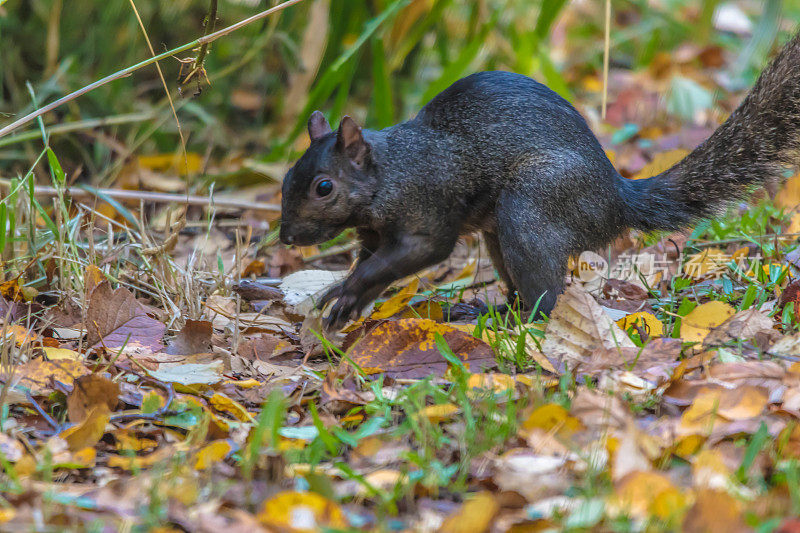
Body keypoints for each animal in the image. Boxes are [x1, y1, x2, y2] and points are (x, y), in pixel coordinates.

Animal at [280, 30, 800, 328]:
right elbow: (373, 265)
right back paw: (490, 311)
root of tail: (614, 199)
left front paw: (342, 292)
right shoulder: (373, 234)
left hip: (531, 208)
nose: (286, 237)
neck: (390, 171)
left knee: (547, 298)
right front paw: (345, 301)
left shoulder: (427, 209)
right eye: (286, 179)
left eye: (324, 187)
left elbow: (415, 253)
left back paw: (516, 323)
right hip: (500, 233)